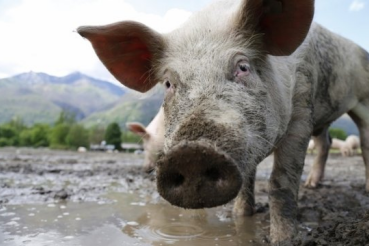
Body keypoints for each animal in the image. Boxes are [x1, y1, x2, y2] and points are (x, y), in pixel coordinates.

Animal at [77, 0, 368, 243]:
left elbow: (280, 183)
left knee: (363, 142)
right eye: (169, 83)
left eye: (243, 67)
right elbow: (247, 179)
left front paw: (283, 239)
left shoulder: (301, 109)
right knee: (325, 143)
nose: (192, 153)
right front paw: (241, 217)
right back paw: (312, 185)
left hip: (362, 100)